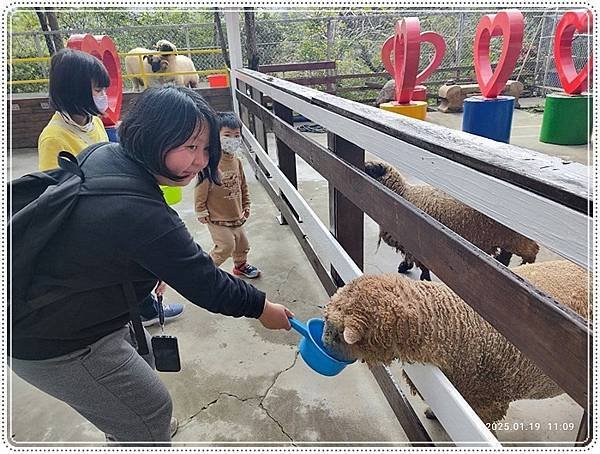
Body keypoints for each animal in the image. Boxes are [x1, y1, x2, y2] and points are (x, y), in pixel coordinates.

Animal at [364, 160, 540, 280]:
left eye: (370, 169)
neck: (403, 193)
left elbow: (423, 268)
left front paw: (424, 280)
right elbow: (412, 260)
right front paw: (405, 267)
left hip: (516, 238)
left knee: (532, 250)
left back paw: (527, 265)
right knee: (507, 254)